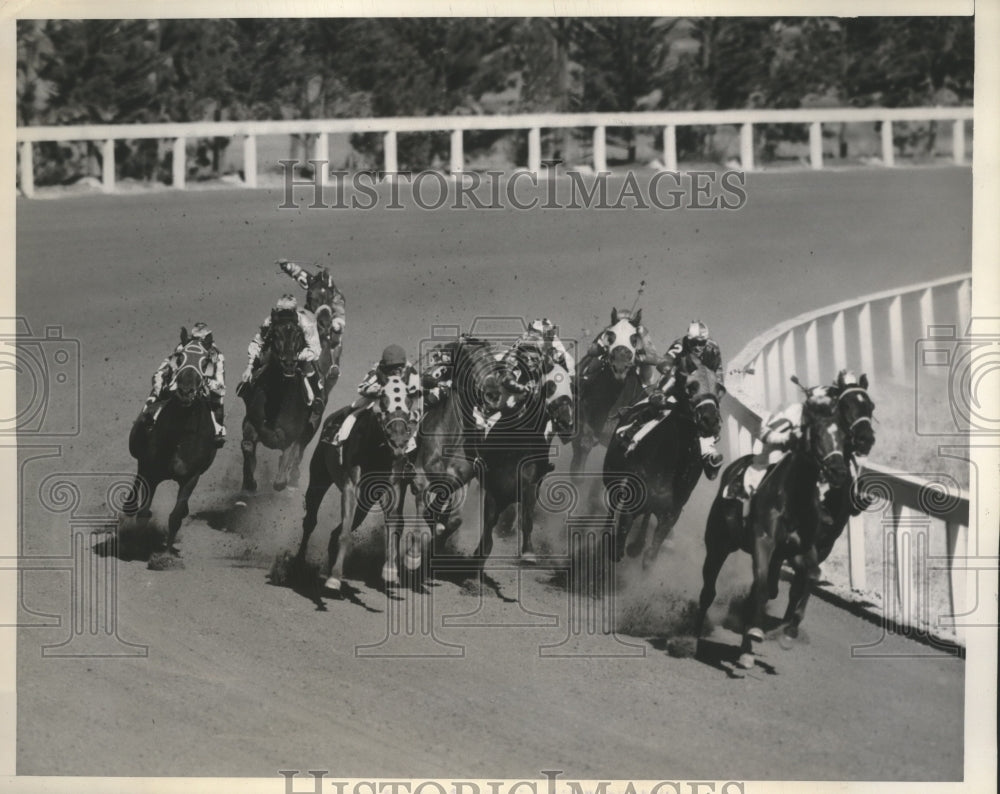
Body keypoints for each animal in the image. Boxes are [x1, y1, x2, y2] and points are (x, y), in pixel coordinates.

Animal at [123, 332, 219, 552]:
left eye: (205, 361)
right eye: (180, 356)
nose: (185, 391)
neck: (179, 436)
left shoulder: (191, 477)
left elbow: (175, 517)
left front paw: (166, 554)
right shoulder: (151, 472)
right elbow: (143, 513)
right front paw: (138, 543)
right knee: (138, 478)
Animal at [290, 374, 418, 592]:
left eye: (409, 403)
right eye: (384, 401)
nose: (399, 440)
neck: (377, 449)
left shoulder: (391, 487)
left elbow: (394, 524)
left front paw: (390, 572)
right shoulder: (350, 486)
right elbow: (345, 532)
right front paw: (334, 579)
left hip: (365, 503)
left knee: (335, 531)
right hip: (319, 477)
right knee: (311, 521)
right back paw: (299, 564)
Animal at [596, 356, 724, 568]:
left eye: (719, 389)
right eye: (691, 386)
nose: (711, 421)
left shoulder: (673, 511)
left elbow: (652, 552)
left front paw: (642, 550)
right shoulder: (634, 498)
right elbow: (620, 540)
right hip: (611, 476)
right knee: (613, 507)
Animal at [700, 386, 848, 668]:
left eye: (844, 436)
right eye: (817, 434)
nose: (838, 471)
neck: (795, 499)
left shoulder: (801, 550)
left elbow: (810, 576)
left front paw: (789, 632)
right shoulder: (763, 541)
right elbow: (760, 584)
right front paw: (756, 631)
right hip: (719, 542)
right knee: (709, 585)